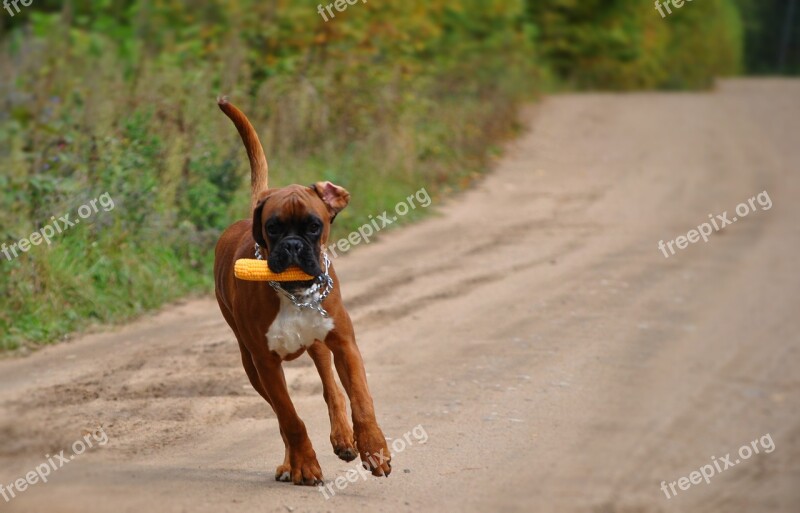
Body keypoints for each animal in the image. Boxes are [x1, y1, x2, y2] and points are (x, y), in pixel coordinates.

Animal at [214, 99, 392, 484]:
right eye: (272, 227)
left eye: (313, 226)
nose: (293, 246)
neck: (292, 294)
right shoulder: (265, 364)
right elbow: (290, 419)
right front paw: (305, 464)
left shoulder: (344, 345)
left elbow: (360, 400)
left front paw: (373, 447)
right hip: (251, 365)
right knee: (284, 417)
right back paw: (291, 463)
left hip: (319, 346)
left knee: (331, 389)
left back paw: (344, 438)